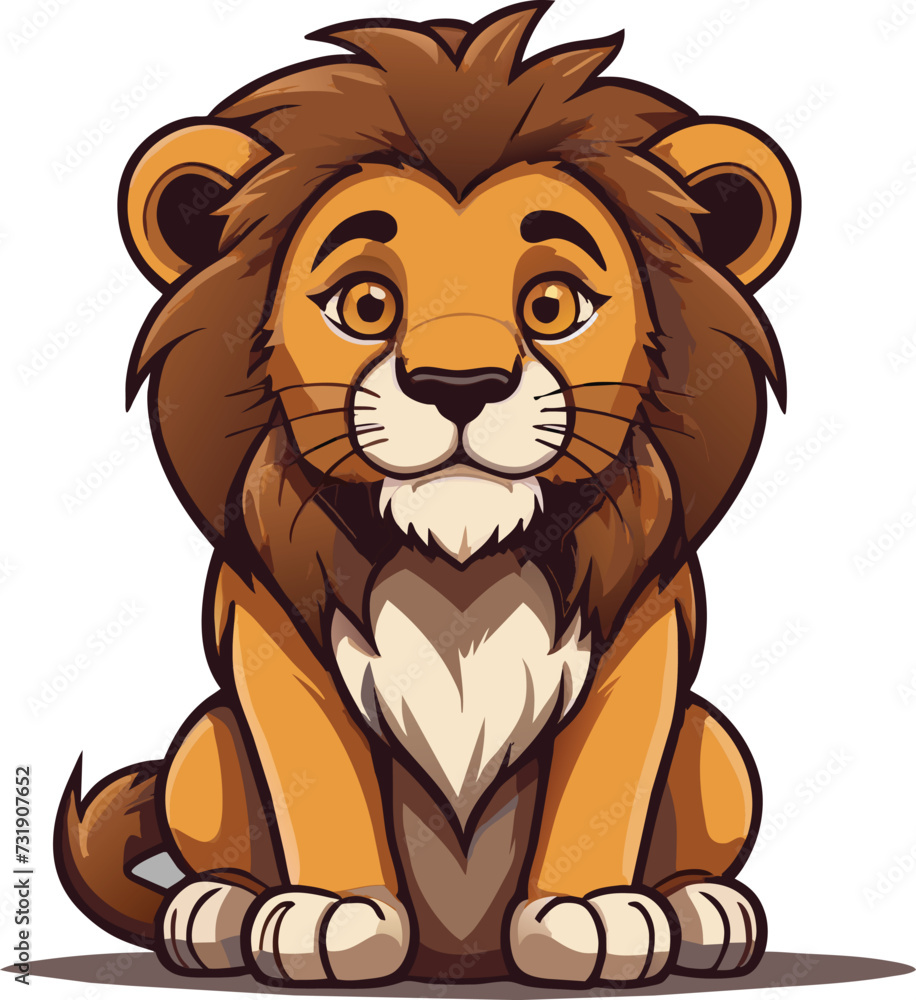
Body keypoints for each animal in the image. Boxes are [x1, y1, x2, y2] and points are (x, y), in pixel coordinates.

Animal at [55, 3, 800, 988]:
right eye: (365, 304)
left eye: (554, 304)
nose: (459, 385)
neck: (459, 557)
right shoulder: (269, 628)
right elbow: (314, 773)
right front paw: (327, 915)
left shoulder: (646, 625)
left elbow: (608, 773)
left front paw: (591, 913)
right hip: (204, 740)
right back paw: (213, 906)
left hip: (715, 741)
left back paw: (703, 908)